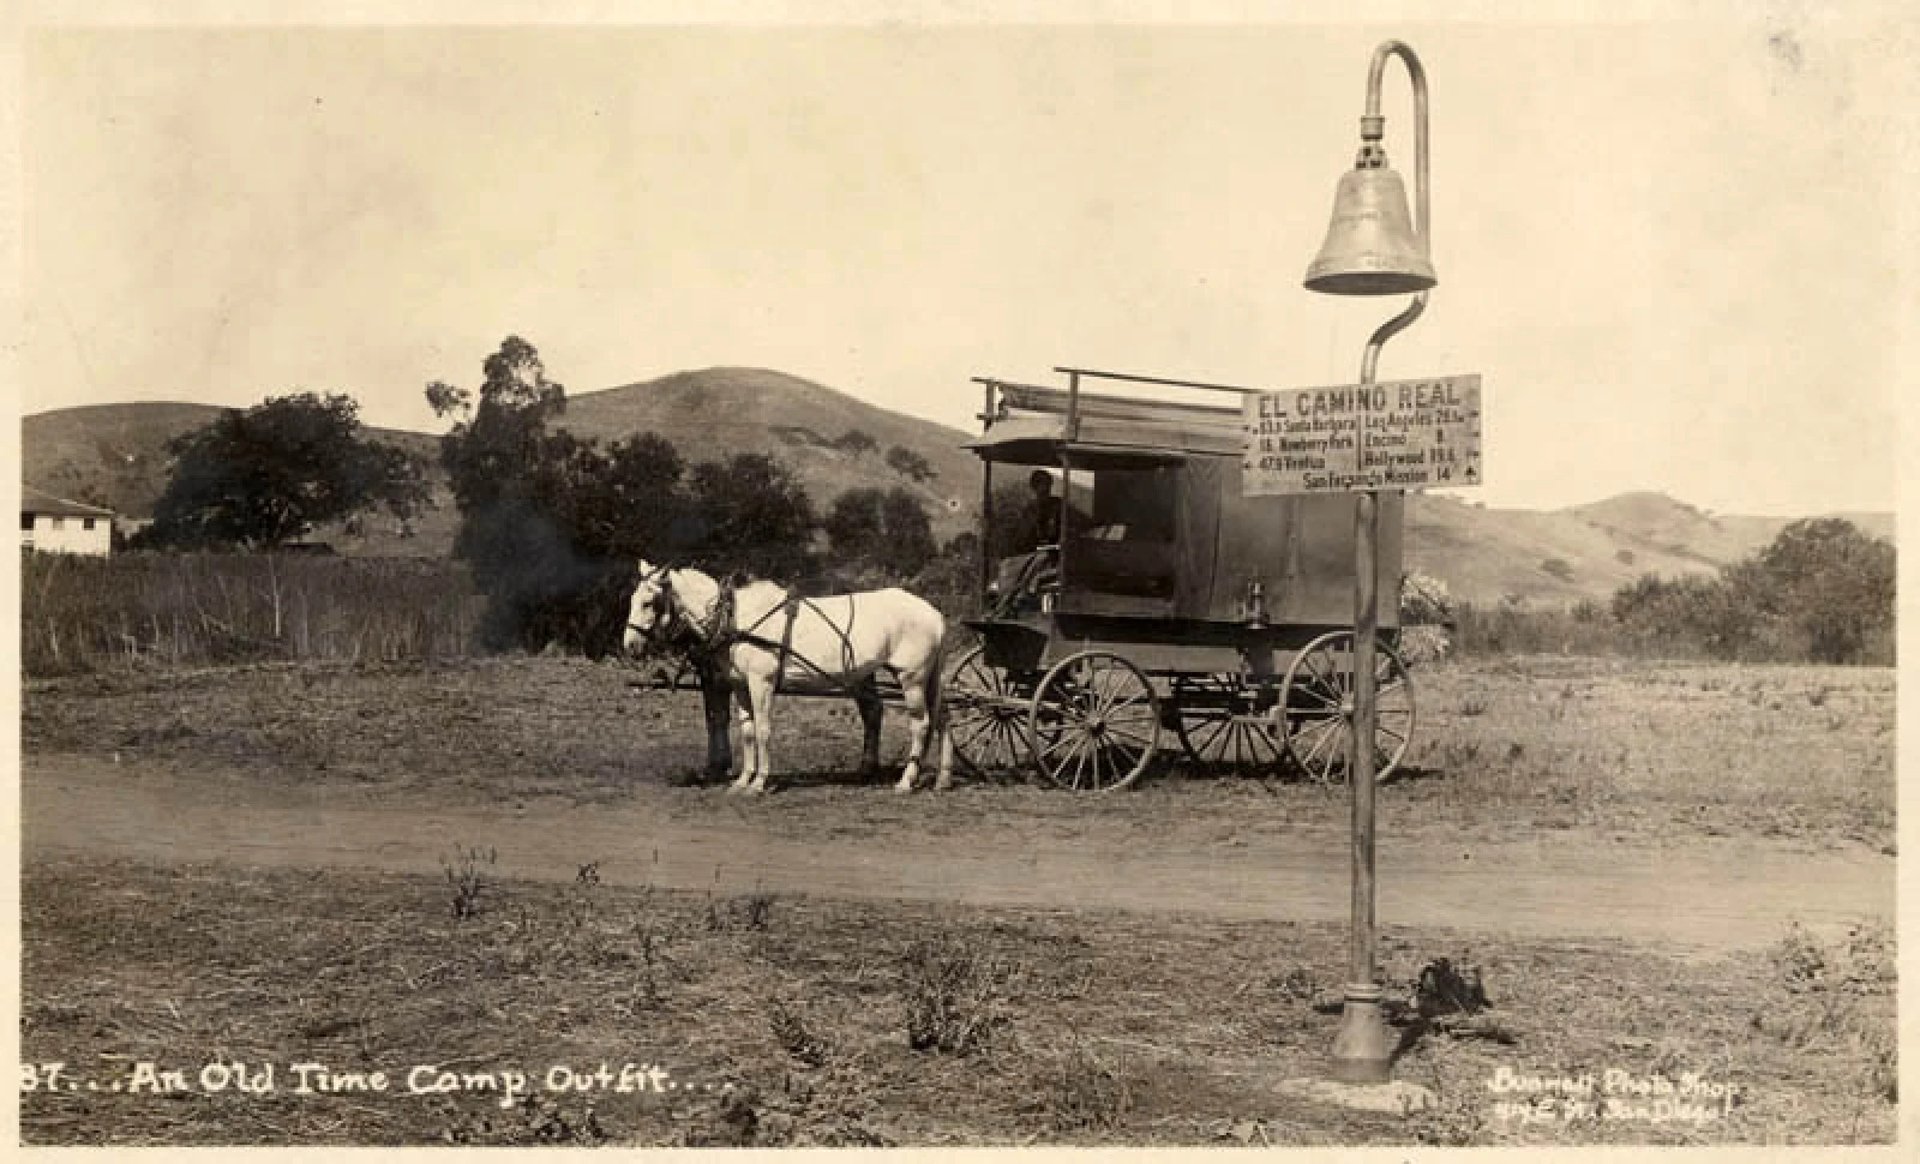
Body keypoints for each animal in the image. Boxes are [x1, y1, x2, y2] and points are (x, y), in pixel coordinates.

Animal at [622, 560, 952, 799]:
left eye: (649, 602)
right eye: (633, 599)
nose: (630, 645)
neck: (733, 618)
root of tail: (935, 614)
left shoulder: (761, 682)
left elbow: (763, 730)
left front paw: (759, 782)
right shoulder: (741, 686)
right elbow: (748, 732)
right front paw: (742, 780)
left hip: (911, 678)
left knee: (921, 724)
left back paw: (906, 781)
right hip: (926, 678)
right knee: (941, 717)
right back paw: (943, 777)